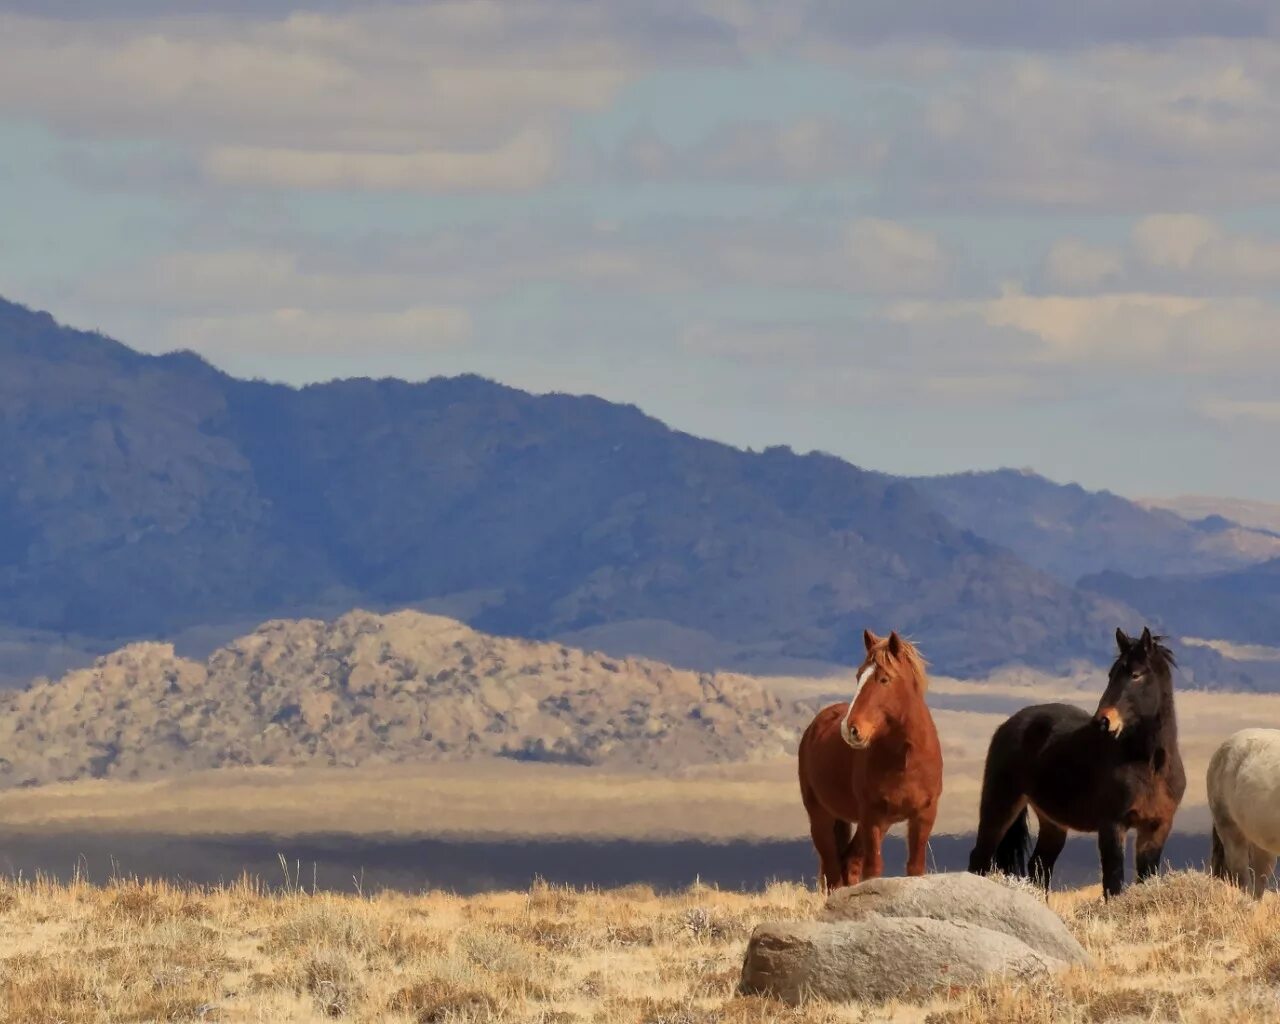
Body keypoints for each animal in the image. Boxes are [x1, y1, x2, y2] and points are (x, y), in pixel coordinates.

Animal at [798, 627, 942, 890]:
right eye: (858, 676)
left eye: (884, 679)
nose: (850, 729)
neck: (905, 760)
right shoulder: (872, 816)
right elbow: (873, 870)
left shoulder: (924, 815)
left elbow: (915, 868)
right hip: (821, 816)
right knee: (833, 871)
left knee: (849, 863)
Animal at [967, 627, 1187, 901]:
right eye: (1111, 674)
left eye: (1136, 675)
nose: (1103, 721)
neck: (1150, 766)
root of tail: (1006, 725)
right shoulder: (1112, 826)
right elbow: (1113, 881)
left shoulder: (1156, 827)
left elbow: (1146, 877)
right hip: (1001, 805)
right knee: (980, 856)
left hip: (1052, 822)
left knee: (1039, 866)